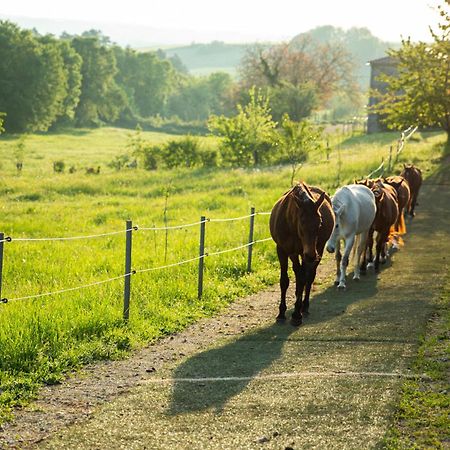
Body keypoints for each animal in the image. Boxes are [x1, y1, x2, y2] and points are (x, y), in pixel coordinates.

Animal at [268, 181, 336, 326]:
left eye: (320, 222)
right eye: (302, 221)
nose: (311, 255)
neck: (291, 225)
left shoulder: (305, 253)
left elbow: (303, 279)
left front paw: (296, 314)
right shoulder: (282, 250)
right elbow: (284, 281)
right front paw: (281, 313)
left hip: (317, 250)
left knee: (308, 277)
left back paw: (304, 306)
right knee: (298, 273)